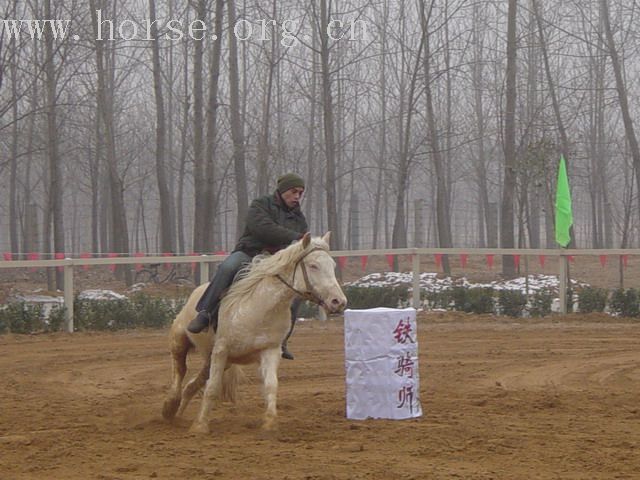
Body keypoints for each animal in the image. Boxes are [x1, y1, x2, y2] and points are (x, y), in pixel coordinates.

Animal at [162, 231, 348, 434]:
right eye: (313, 265)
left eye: (333, 265)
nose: (339, 301)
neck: (261, 307)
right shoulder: (221, 350)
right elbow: (212, 388)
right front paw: (200, 426)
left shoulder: (270, 351)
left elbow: (271, 386)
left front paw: (270, 424)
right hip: (180, 341)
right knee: (180, 371)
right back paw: (169, 407)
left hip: (215, 361)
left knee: (191, 385)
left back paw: (177, 415)